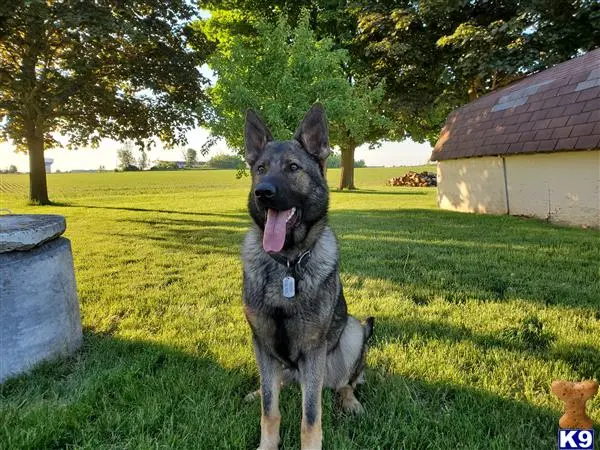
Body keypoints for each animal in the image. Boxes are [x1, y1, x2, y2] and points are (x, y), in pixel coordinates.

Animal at [240, 103, 372, 448]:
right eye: (260, 168)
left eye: (293, 167)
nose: (262, 192)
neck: (287, 264)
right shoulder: (262, 342)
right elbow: (269, 408)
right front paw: (267, 444)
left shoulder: (313, 351)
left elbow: (310, 416)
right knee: (275, 386)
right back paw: (256, 391)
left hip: (352, 332)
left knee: (346, 382)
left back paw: (350, 402)